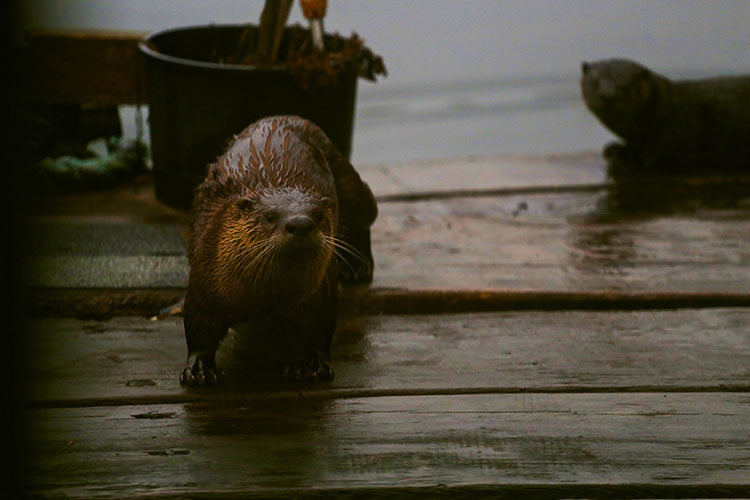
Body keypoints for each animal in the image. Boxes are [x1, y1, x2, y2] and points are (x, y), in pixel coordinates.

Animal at [181, 115, 378, 384]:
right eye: (270, 216)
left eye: (318, 215)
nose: (301, 223)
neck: (267, 300)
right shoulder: (205, 272)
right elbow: (198, 325)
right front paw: (199, 367)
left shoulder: (321, 289)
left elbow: (319, 326)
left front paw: (310, 363)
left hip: (349, 184)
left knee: (365, 216)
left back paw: (359, 267)